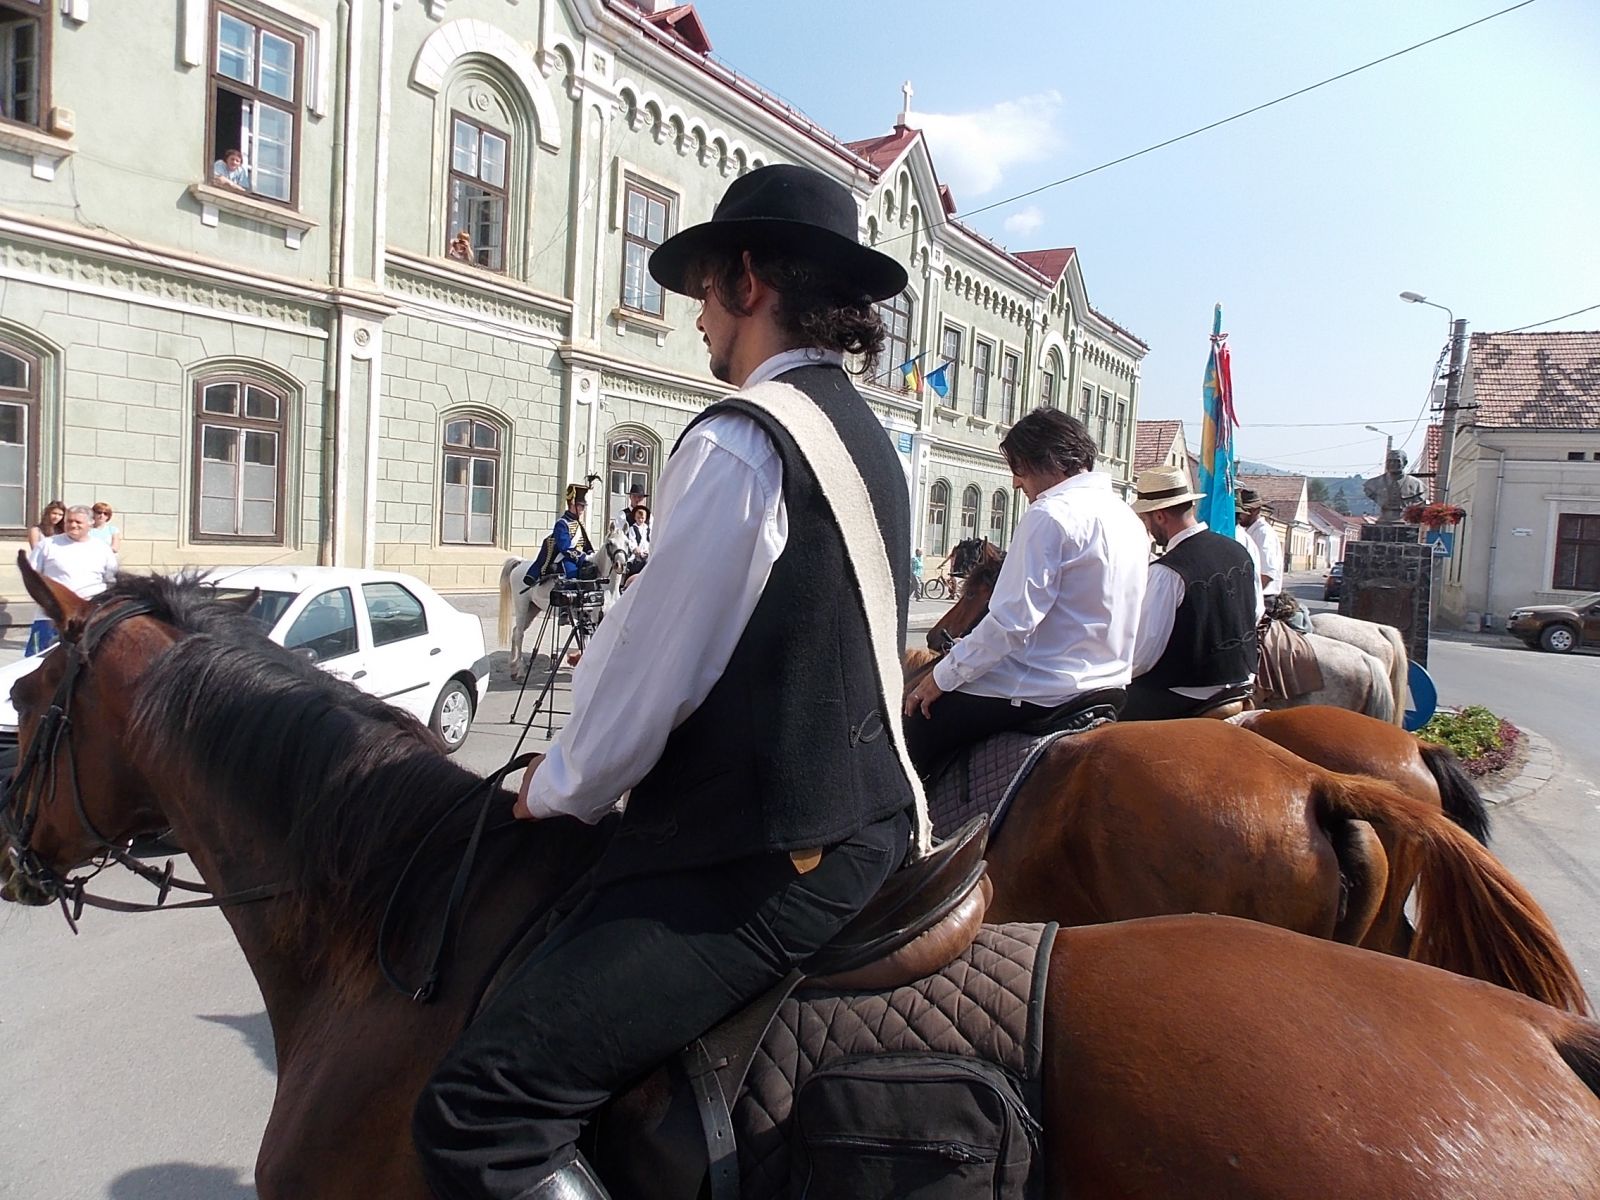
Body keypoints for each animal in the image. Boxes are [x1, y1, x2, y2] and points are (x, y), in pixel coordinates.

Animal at [492, 531, 630, 681]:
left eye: (627, 543)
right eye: (610, 543)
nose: (620, 565)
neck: (605, 585)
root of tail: (520, 562)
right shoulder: (593, 618)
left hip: (532, 609)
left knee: (516, 631)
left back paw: (513, 668)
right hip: (522, 606)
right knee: (519, 635)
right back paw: (521, 671)